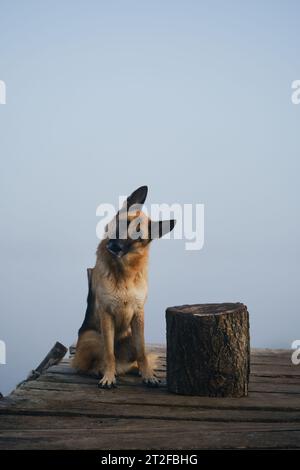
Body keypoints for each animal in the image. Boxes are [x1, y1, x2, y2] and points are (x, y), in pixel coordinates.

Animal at [73, 185, 176, 388]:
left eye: (138, 235)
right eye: (122, 224)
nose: (115, 246)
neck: (124, 272)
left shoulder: (138, 314)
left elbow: (142, 353)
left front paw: (148, 375)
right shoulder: (106, 314)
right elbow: (109, 354)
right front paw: (108, 377)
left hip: (130, 338)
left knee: (135, 357)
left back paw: (137, 370)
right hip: (93, 338)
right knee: (92, 362)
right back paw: (99, 371)